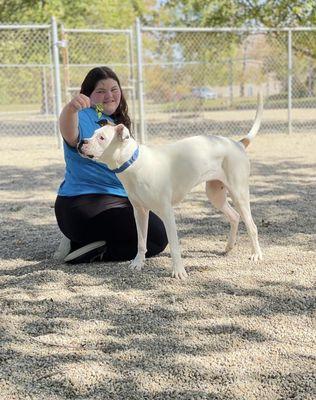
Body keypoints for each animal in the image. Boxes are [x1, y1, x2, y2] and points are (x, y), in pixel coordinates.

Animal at [78, 95, 262, 280]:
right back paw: (229, 246)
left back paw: (256, 254)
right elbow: (141, 242)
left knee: (251, 226)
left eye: (102, 138)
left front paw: (179, 271)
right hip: (215, 195)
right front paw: (138, 263)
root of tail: (237, 143)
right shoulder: (140, 212)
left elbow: (174, 245)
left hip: (239, 194)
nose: (81, 142)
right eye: (93, 134)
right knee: (234, 216)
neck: (134, 163)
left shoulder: (167, 213)